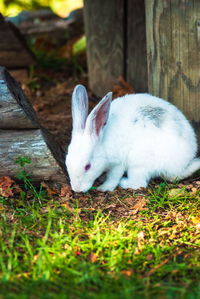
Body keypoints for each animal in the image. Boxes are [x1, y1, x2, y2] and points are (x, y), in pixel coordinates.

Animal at [66, 85, 200, 192]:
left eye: (87, 166)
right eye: (66, 161)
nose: (76, 189)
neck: (102, 140)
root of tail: (179, 168)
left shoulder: (118, 163)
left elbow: (113, 177)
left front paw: (104, 188)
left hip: (138, 164)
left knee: (139, 184)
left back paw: (124, 183)